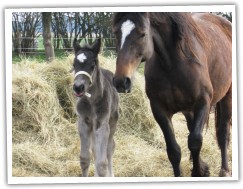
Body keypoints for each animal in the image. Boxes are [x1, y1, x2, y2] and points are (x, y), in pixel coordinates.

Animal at [72, 38, 118, 177]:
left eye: (92, 65)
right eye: (73, 64)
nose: (78, 87)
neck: (92, 101)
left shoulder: (102, 125)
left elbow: (102, 164)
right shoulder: (83, 123)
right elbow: (85, 159)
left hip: (113, 122)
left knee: (109, 148)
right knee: (95, 150)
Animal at [112, 12, 232, 176]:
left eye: (143, 34)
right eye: (116, 33)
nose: (120, 81)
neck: (173, 64)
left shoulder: (203, 104)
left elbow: (195, 141)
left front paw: (197, 172)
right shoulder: (159, 110)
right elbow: (174, 151)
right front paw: (195, 169)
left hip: (227, 97)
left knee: (223, 132)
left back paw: (224, 170)